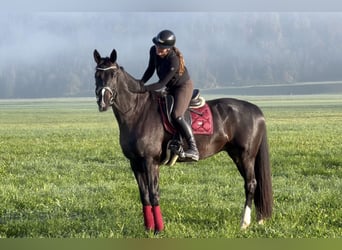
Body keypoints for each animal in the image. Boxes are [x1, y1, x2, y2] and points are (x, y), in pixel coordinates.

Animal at [91, 48, 272, 234]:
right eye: (96, 74)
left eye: (113, 74)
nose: (103, 101)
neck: (138, 112)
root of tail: (255, 109)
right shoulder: (135, 163)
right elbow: (144, 195)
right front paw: (148, 228)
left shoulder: (150, 162)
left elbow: (154, 193)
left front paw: (159, 229)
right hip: (236, 155)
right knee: (251, 183)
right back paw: (258, 220)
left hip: (246, 156)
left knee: (251, 184)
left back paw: (244, 223)